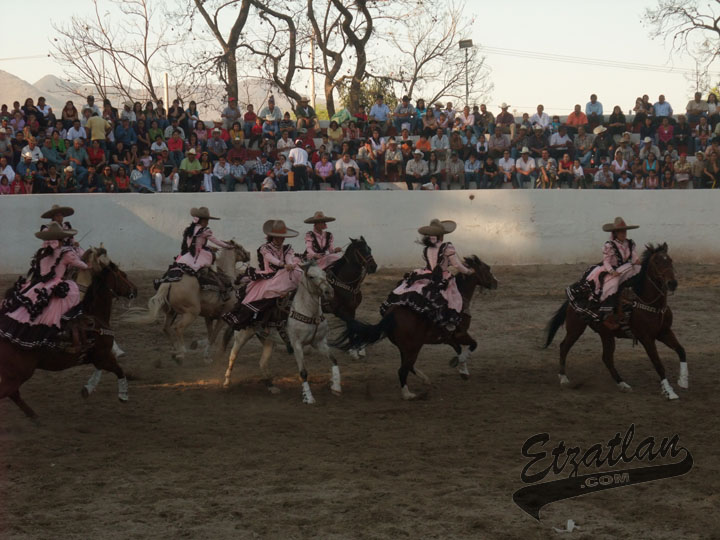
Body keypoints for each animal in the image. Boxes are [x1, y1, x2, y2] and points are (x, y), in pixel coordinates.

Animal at [0, 247, 137, 419]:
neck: (96, 317)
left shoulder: (98, 357)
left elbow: (103, 369)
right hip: (20, 373)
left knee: (14, 394)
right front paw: (123, 395)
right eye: (124, 275)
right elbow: (119, 370)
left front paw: (87, 389)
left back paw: (36, 418)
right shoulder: (103, 355)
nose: (135, 290)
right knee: (10, 392)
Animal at [222, 261, 337, 404]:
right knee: (232, 356)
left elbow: (333, 359)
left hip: (268, 341)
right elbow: (303, 372)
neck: (309, 312)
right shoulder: (297, 344)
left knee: (262, 362)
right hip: (241, 336)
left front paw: (336, 387)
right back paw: (226, 383)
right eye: (311, 276)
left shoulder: (319, 342)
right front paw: (309, 398)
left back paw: (271, 386)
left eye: (325, 274)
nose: (329, 292)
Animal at [334, 256, 497, 400]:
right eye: (487, 269)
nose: (496, 283)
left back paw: (425, 379)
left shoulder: (448, 338)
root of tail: (391, 313)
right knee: (403, 370)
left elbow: (458, 349)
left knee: (408, 366)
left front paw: (463, 370)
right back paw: (408, 394)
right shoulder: (460, 334)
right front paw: (460, 363)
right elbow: (473, 345)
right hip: (414, 347)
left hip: (405, 347)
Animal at [543, 243, 687, 400]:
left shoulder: (664, 332)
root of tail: (572, 300)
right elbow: (658, 364)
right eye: (656, 262)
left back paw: (622, 384)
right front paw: (669, 392)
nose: (672, 283)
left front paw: (683, 381)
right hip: (576, 328)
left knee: (607, 358)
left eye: (670, 260)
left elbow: (681, 351)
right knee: (564, 347)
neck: (651, 304)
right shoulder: (646, 338)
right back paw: (563, 378)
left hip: (606, 334)